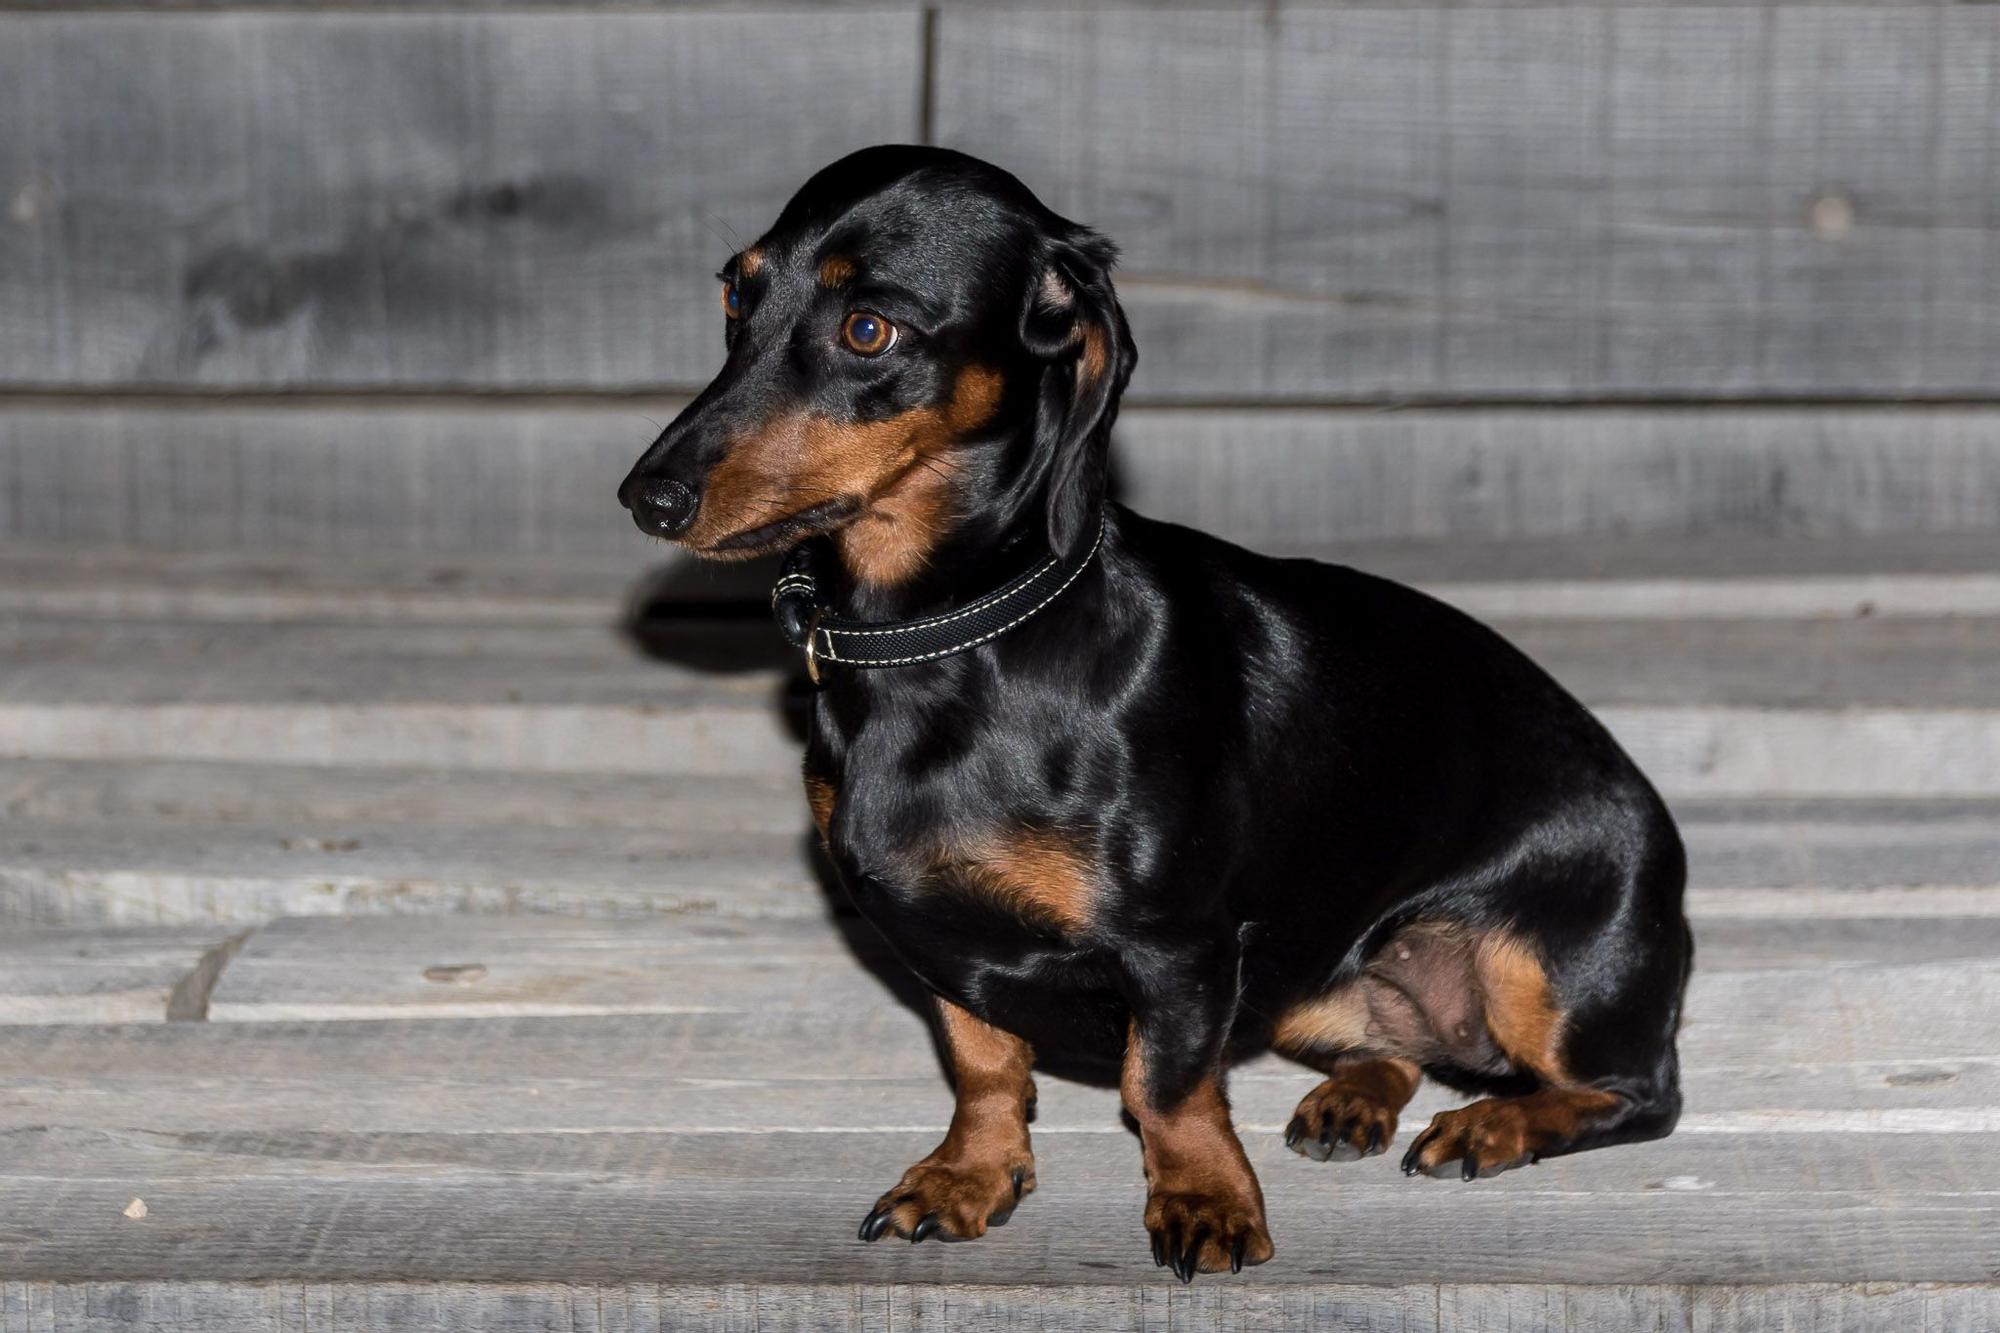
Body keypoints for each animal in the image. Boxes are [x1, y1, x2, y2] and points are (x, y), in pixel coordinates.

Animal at [620, 145, 1688, 1280]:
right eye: (737, 295)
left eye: (868, 329)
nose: (647, 498)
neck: (947, 642)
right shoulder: (942, 944)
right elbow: (982, 1063)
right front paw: (968, 1175)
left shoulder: (1180, 949)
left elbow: (1164, 1086)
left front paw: (1204, 1198)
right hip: (1308, 984)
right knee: (1398, 1048)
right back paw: (1354, 1097)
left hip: (1546, 973)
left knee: (1632, 1094)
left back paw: (1495, 1123)